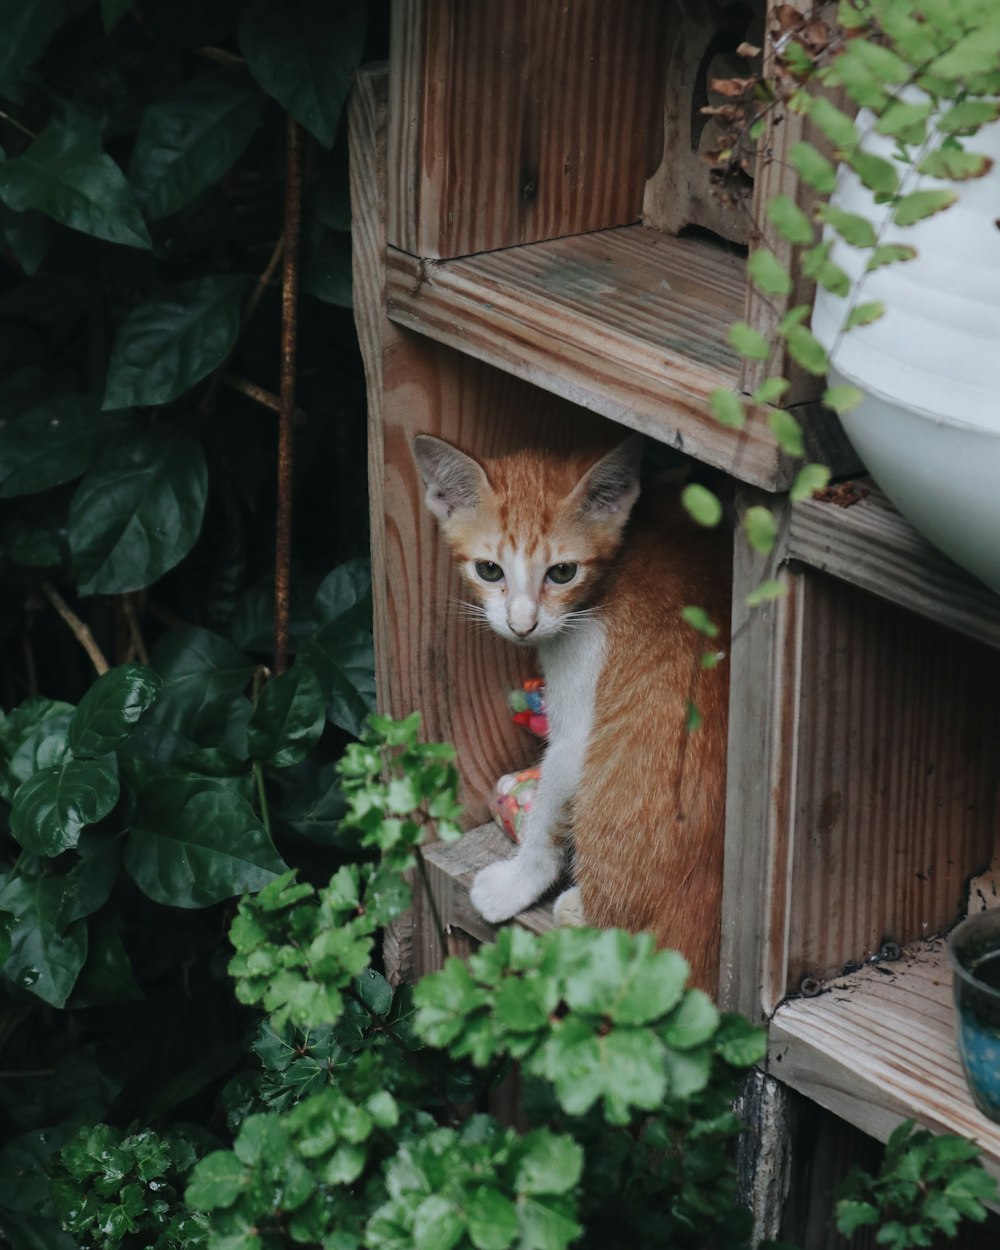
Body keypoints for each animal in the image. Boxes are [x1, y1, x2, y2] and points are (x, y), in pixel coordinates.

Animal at [410, 435, 730, 990]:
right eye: (489, 569)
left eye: (562, 572)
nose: (523, 624)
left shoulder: (580, 716)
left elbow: (551, 804)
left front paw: (518, 881)